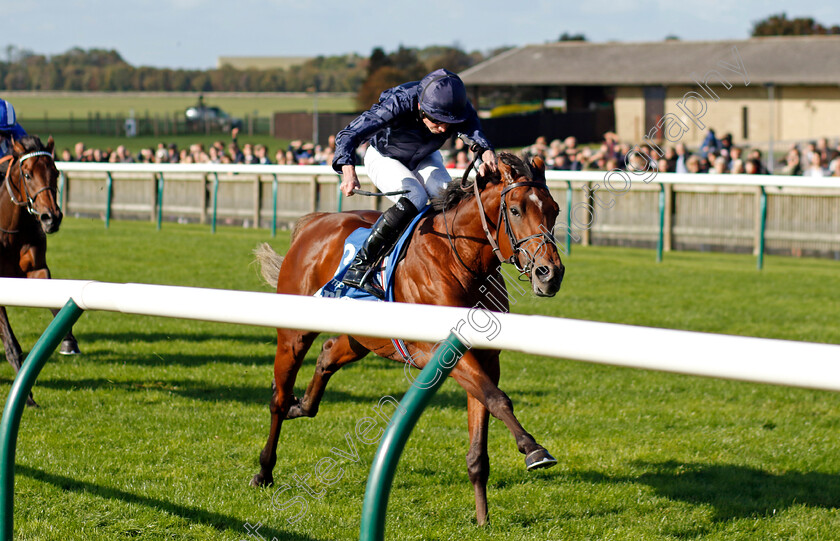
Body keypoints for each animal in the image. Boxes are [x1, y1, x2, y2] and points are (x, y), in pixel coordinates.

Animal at [0, 135, 80, 404]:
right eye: (27, 174)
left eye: (55, 172)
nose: (50, 218)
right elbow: (10, 342)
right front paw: (27, 397)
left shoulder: (37, 269)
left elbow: (55, 302)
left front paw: (68, 341)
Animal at [249, 152, 564, 524]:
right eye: (515, 210)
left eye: (555, 209)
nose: (550, 273)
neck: (461, 259)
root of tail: (314, 223)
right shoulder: (438, 351)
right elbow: (498, 399)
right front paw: (534, 449)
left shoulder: (486, 357)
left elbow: (485, 416)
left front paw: (482, 516)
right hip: (294, 333)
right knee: (278, 398)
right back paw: (265, 470)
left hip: (361, 337)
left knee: (326, 355)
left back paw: (302, 406)